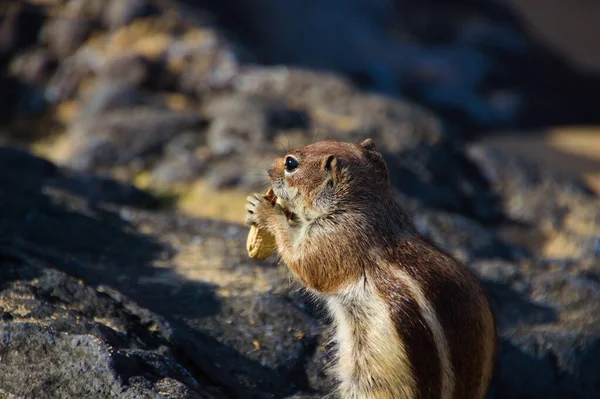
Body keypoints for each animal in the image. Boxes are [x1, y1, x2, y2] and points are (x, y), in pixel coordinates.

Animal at [244, 139, 496, 398]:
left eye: (291, 164)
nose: (268, 168)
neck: (363, 204)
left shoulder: (336, 239)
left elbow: (305, 264)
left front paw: (264, 210)